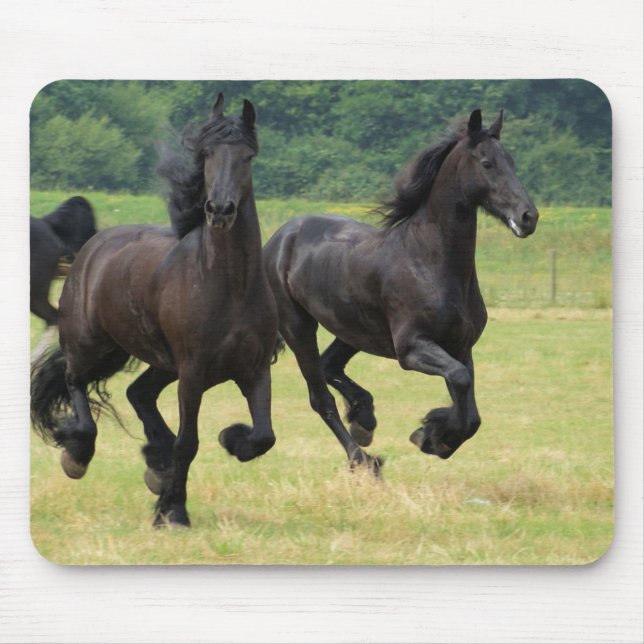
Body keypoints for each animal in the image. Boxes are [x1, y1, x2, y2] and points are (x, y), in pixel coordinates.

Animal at [263, 109, 539, 474]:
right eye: (487, 163)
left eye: (511, 160)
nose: (528, 216)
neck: (429, 262)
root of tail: (279, 238)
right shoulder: (412, 349)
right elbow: (461, 381)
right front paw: (431, 435)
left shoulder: (460, 347)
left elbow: (470, 410)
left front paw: (434, 436)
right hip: (299, 328)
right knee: (320, 397)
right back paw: (363, 459)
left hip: (353, 330)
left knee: (329, 366)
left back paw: (364, 419)